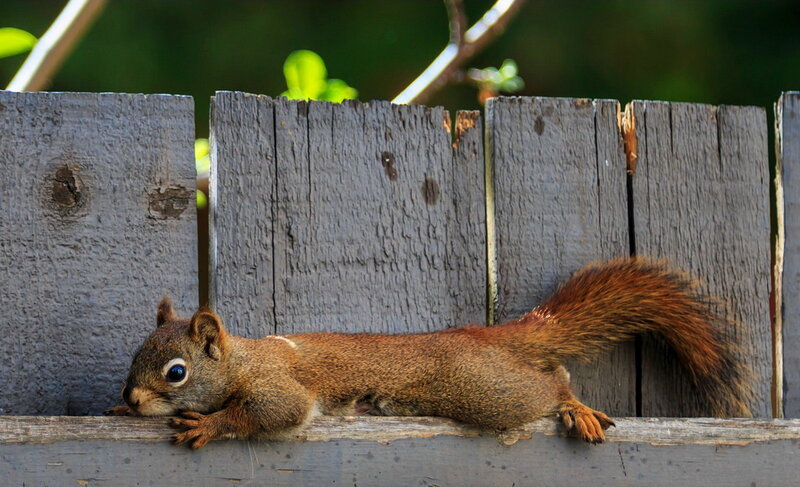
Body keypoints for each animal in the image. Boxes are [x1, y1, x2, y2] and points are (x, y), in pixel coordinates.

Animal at [105, 257, 753, 449]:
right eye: (135, 355)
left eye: (177, 372)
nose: (131, 399)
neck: (240, 359)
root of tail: (476, 335)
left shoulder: (277, 385)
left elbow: (272, 413)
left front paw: (209, 424)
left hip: (486, 392)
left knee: (549, 386)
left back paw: (574, 407)